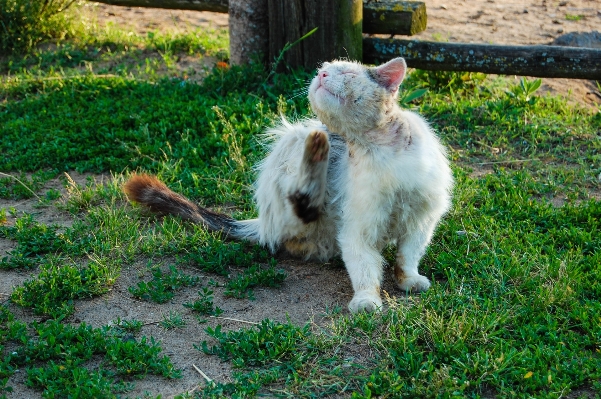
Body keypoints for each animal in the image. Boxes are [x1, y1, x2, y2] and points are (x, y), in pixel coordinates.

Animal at [124, 57, 452, 312]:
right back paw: (316, 152)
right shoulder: (358, 228)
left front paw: (409, 279)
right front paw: (366, 300)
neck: (378, 149)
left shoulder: (422, 220)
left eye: (346, 73)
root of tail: (262, 222)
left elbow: (407, 256)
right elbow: (364, 268)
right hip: (293, 140)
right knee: (298, 205)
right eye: (324, 69)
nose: (320, 75)